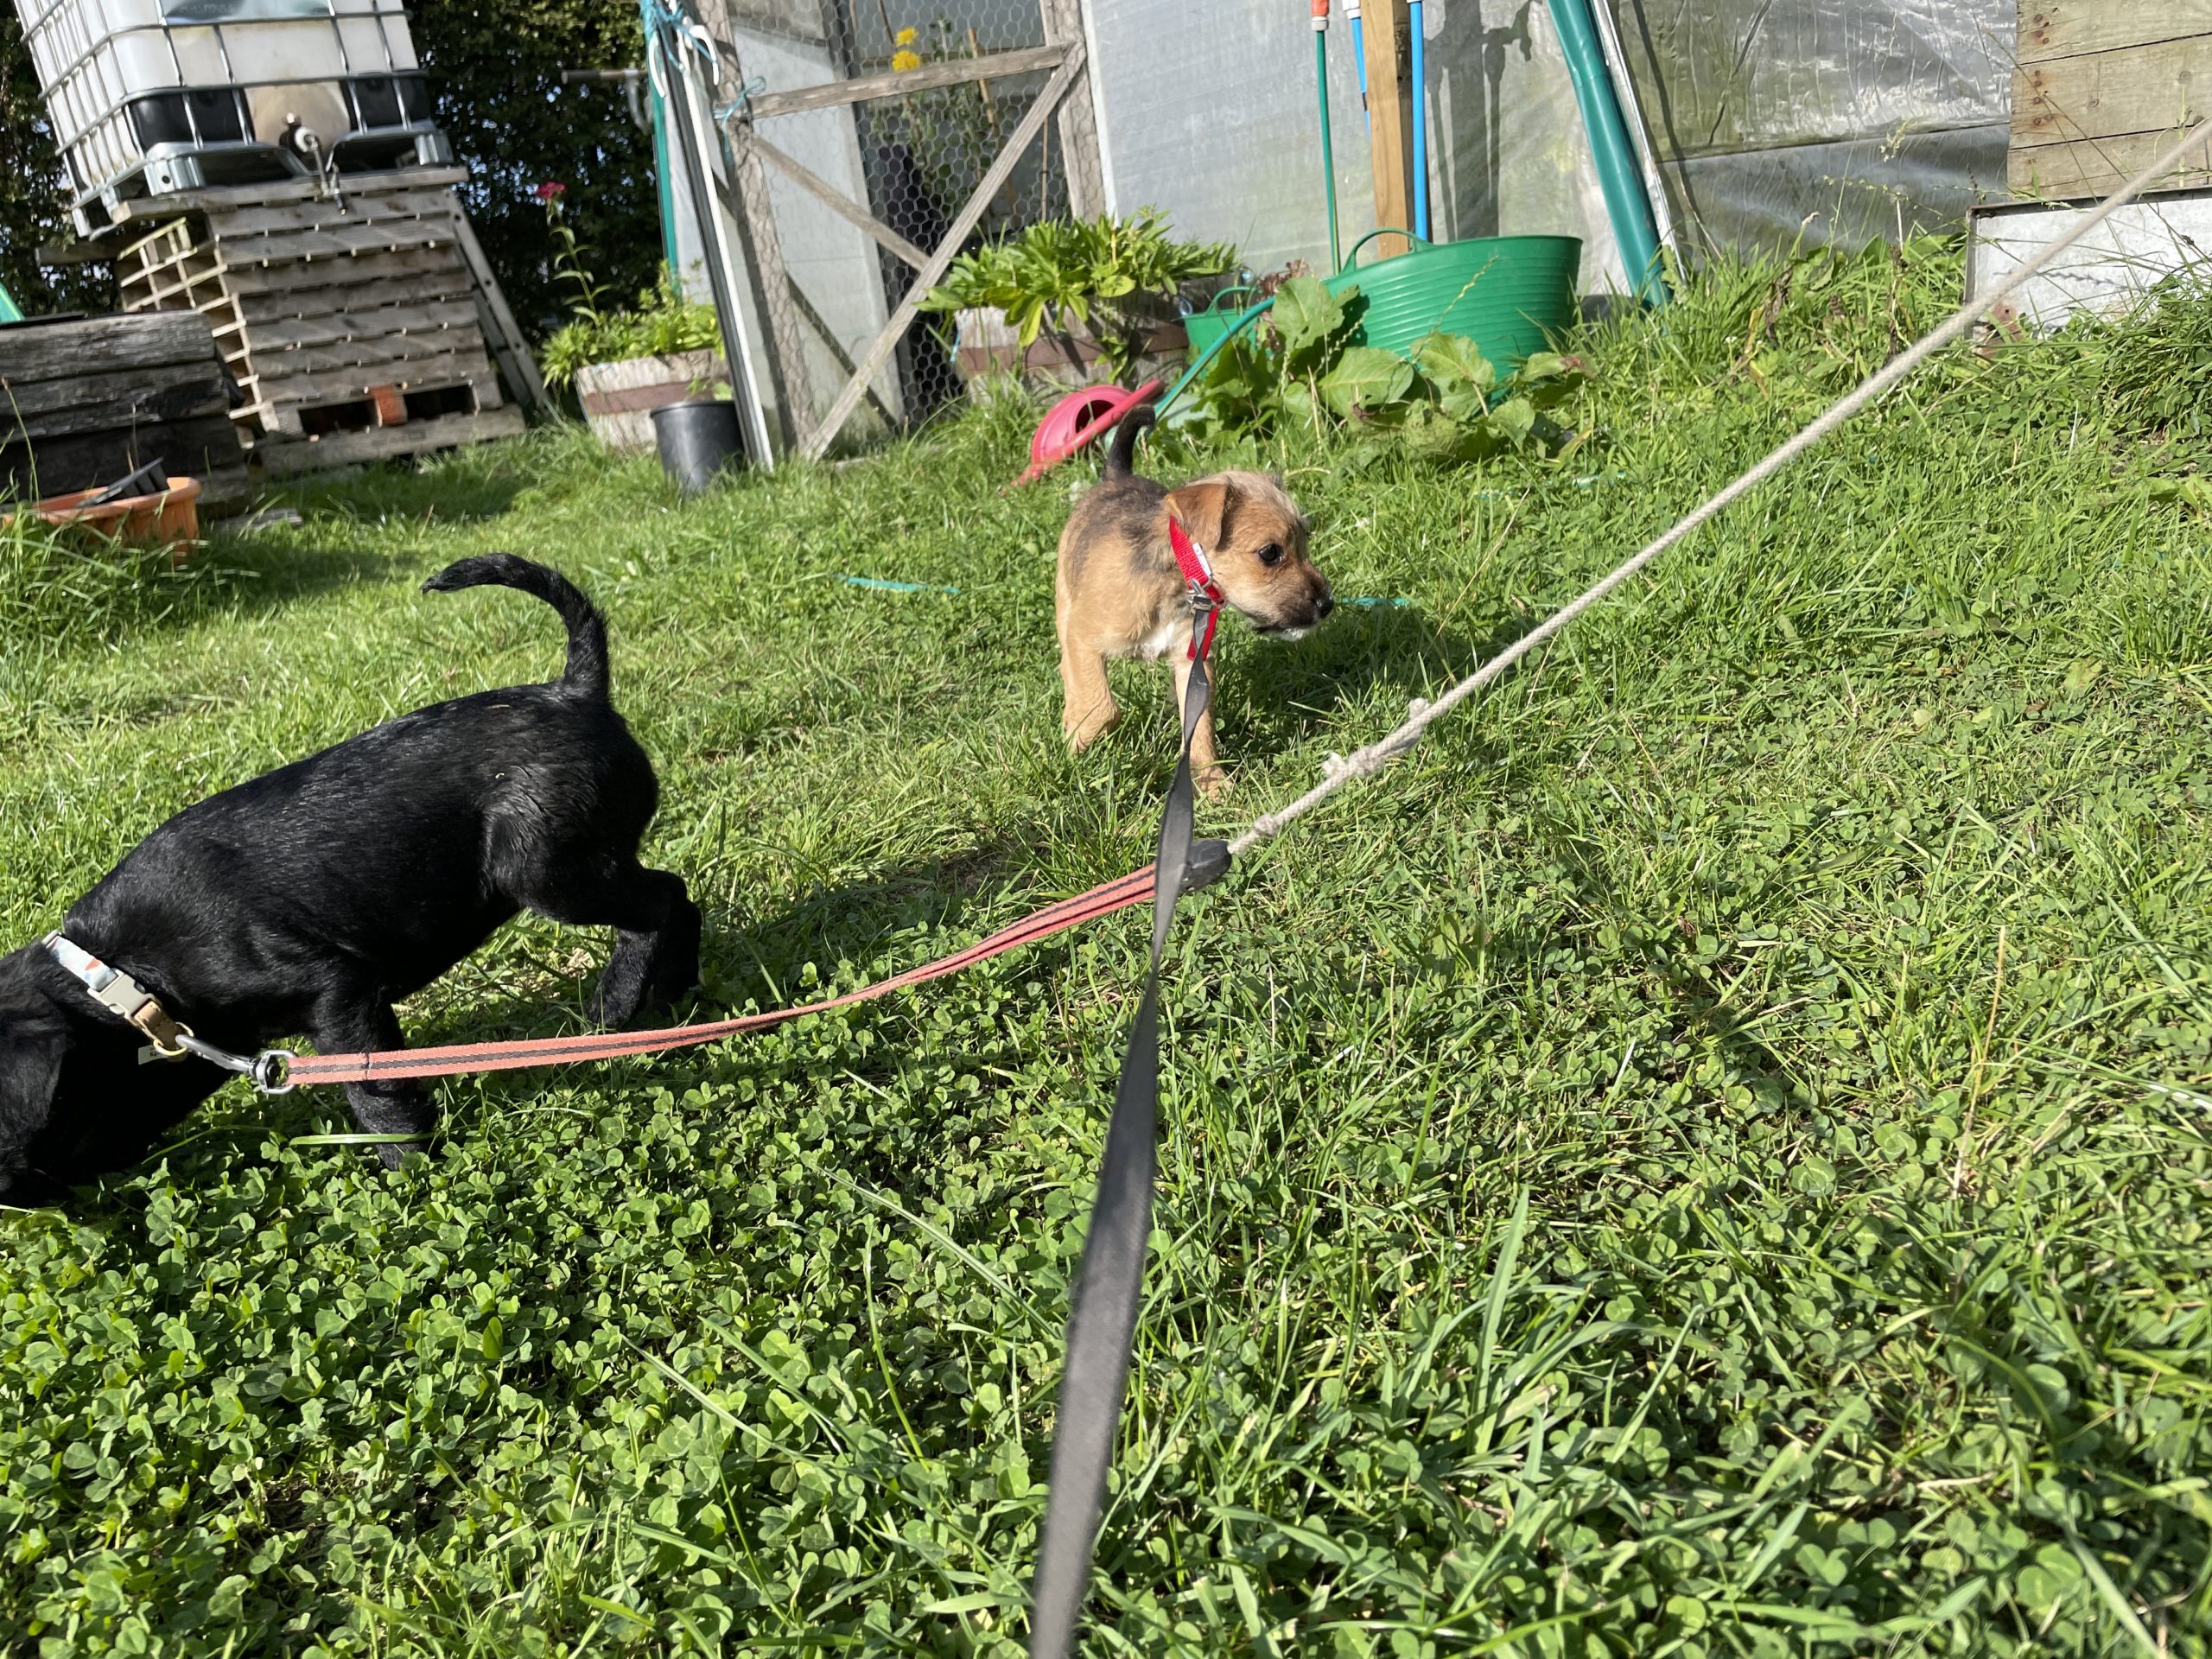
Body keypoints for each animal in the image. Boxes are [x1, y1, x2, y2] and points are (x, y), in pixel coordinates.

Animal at [0, 555, 700, 1205]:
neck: (122, 973)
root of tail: (575, 691)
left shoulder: (338, 994)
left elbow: (374, 1091)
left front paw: (411, 1170)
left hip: (550, 871)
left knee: (658, 903)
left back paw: (617, 1006)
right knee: (676, 896)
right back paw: (678, 998)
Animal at [1055, 408, 1333, 791]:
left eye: (1305, 539)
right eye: (1270, 553)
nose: (1327, 605)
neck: (1177, 576)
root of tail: (1116, 475)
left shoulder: (1193, 663)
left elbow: (1199, 727)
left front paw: (1212, 785)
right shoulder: (1084, 637)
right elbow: (1102, 706)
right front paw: (1076, 748)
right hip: (1065, 604)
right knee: (1068, 668)